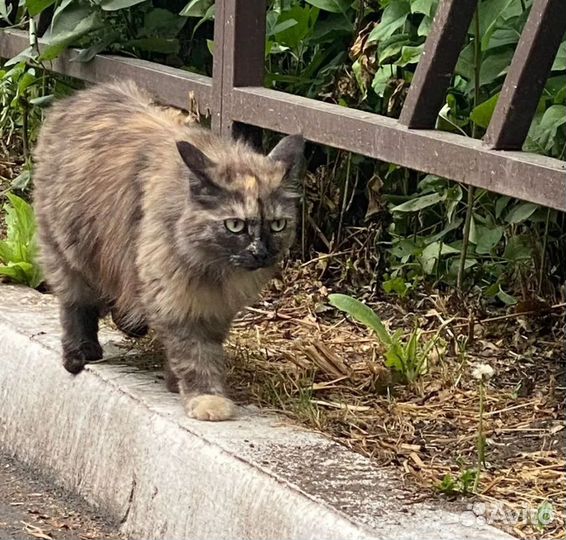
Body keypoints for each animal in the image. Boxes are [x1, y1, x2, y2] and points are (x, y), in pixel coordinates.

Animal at [32, 80, 304, 422]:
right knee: (74, 306)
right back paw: (79, 353)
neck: (213, 270)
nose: (261, 253)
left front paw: (176, 383)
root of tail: (82, 96)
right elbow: (194, 355)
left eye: (278, 225)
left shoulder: (214, 309)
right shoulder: (175, 298)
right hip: (67, 252)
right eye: (235, 226)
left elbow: (204, 349)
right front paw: (206, 398)